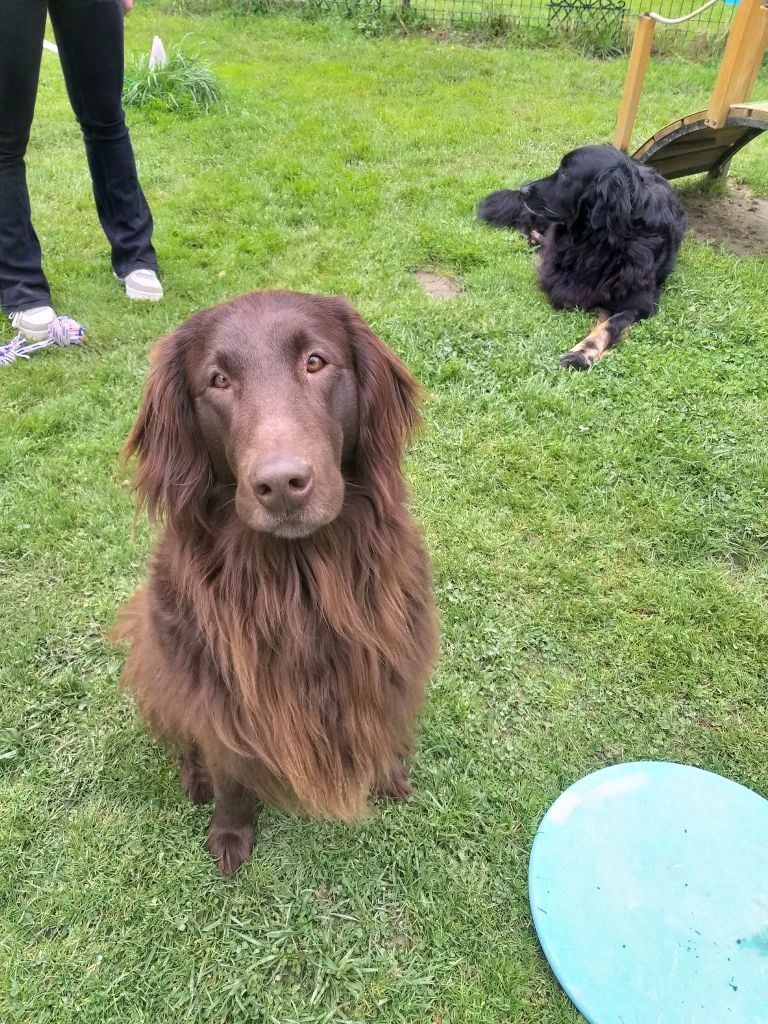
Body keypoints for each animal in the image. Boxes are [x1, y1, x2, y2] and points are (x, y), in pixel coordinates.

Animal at [113, 290, 438, 872]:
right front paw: (229, 832)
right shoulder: (218, 694)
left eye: (315, 361)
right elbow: (229, 772)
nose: (282, 484)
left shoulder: (386, 655)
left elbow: (379, 720)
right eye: (218, 380)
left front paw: (388, 775)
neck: (296, 577)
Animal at [479, 144, 688, 368]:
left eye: (565, 173)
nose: (523, 189)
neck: (599, 240)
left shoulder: (642, 303)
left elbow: (610, 324)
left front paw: (582, 352)